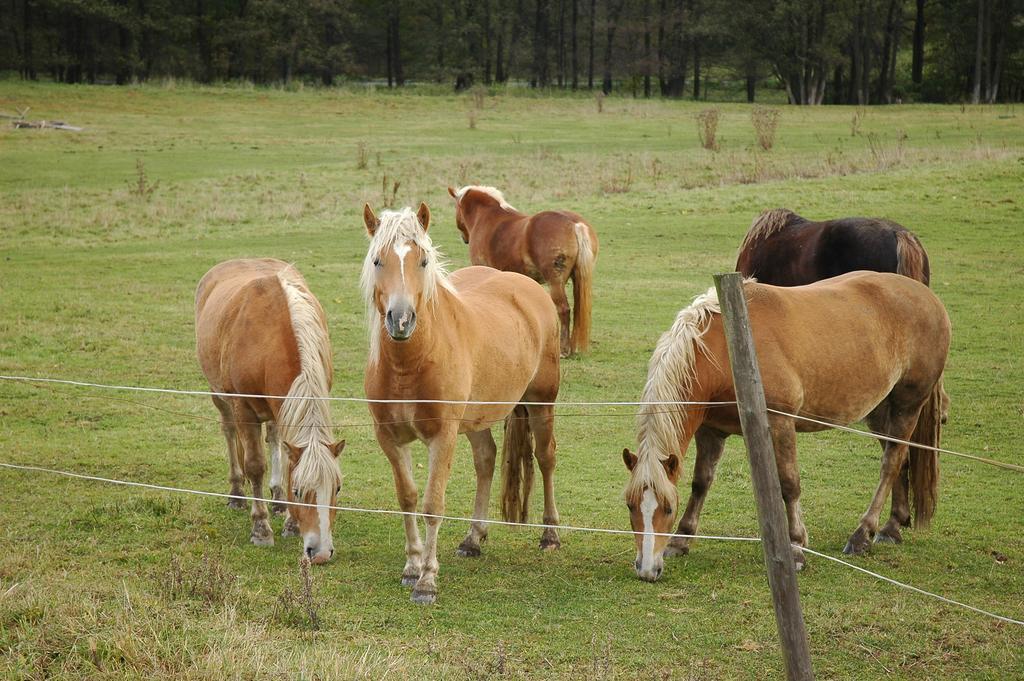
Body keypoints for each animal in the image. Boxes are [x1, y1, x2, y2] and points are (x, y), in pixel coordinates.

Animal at [193, 256, 346, 561]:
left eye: (337, 488)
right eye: (298, 491)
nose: (321, 553)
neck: (270, 335)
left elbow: (286, 459)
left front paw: (290, 523)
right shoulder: (243, 410)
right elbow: (254, 465)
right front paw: (261, 529)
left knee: (274, 437)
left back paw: (276, 500)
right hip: (220, 397)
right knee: (229, 432)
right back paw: (237, 494)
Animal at [364, 202, 565, 606]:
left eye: (423, 260)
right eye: (378, 261)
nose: (401, 319)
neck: (409, 365)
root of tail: (528, 288)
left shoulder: (442, 436)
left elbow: (432, 505)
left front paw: (427, 581)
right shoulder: (389, 438)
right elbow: (408, 497)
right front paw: (411, 567)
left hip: (541, 403)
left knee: (546, 457)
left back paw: (550, 534)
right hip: (476, 419)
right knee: (486, 459)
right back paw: (474, 538)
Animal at [444, 183, 598, 358]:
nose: (464, 238)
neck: (486, 217)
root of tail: (574, 224)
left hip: (555, 282)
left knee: (564, 310)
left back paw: (564, 350)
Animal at [618, 270, 946, 577]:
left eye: (667, 508)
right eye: (630, 505)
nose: (647, 568)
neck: (725, 350)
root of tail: (927, 297)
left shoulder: (780, 423)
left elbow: (789, 484)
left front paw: (797, 546)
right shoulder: (711, 430)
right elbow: (701, 482)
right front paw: (681, 540)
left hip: (907, 406)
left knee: (891, 462)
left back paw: (864, 533)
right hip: (879, 410)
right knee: (899, 458)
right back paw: (893, 525)